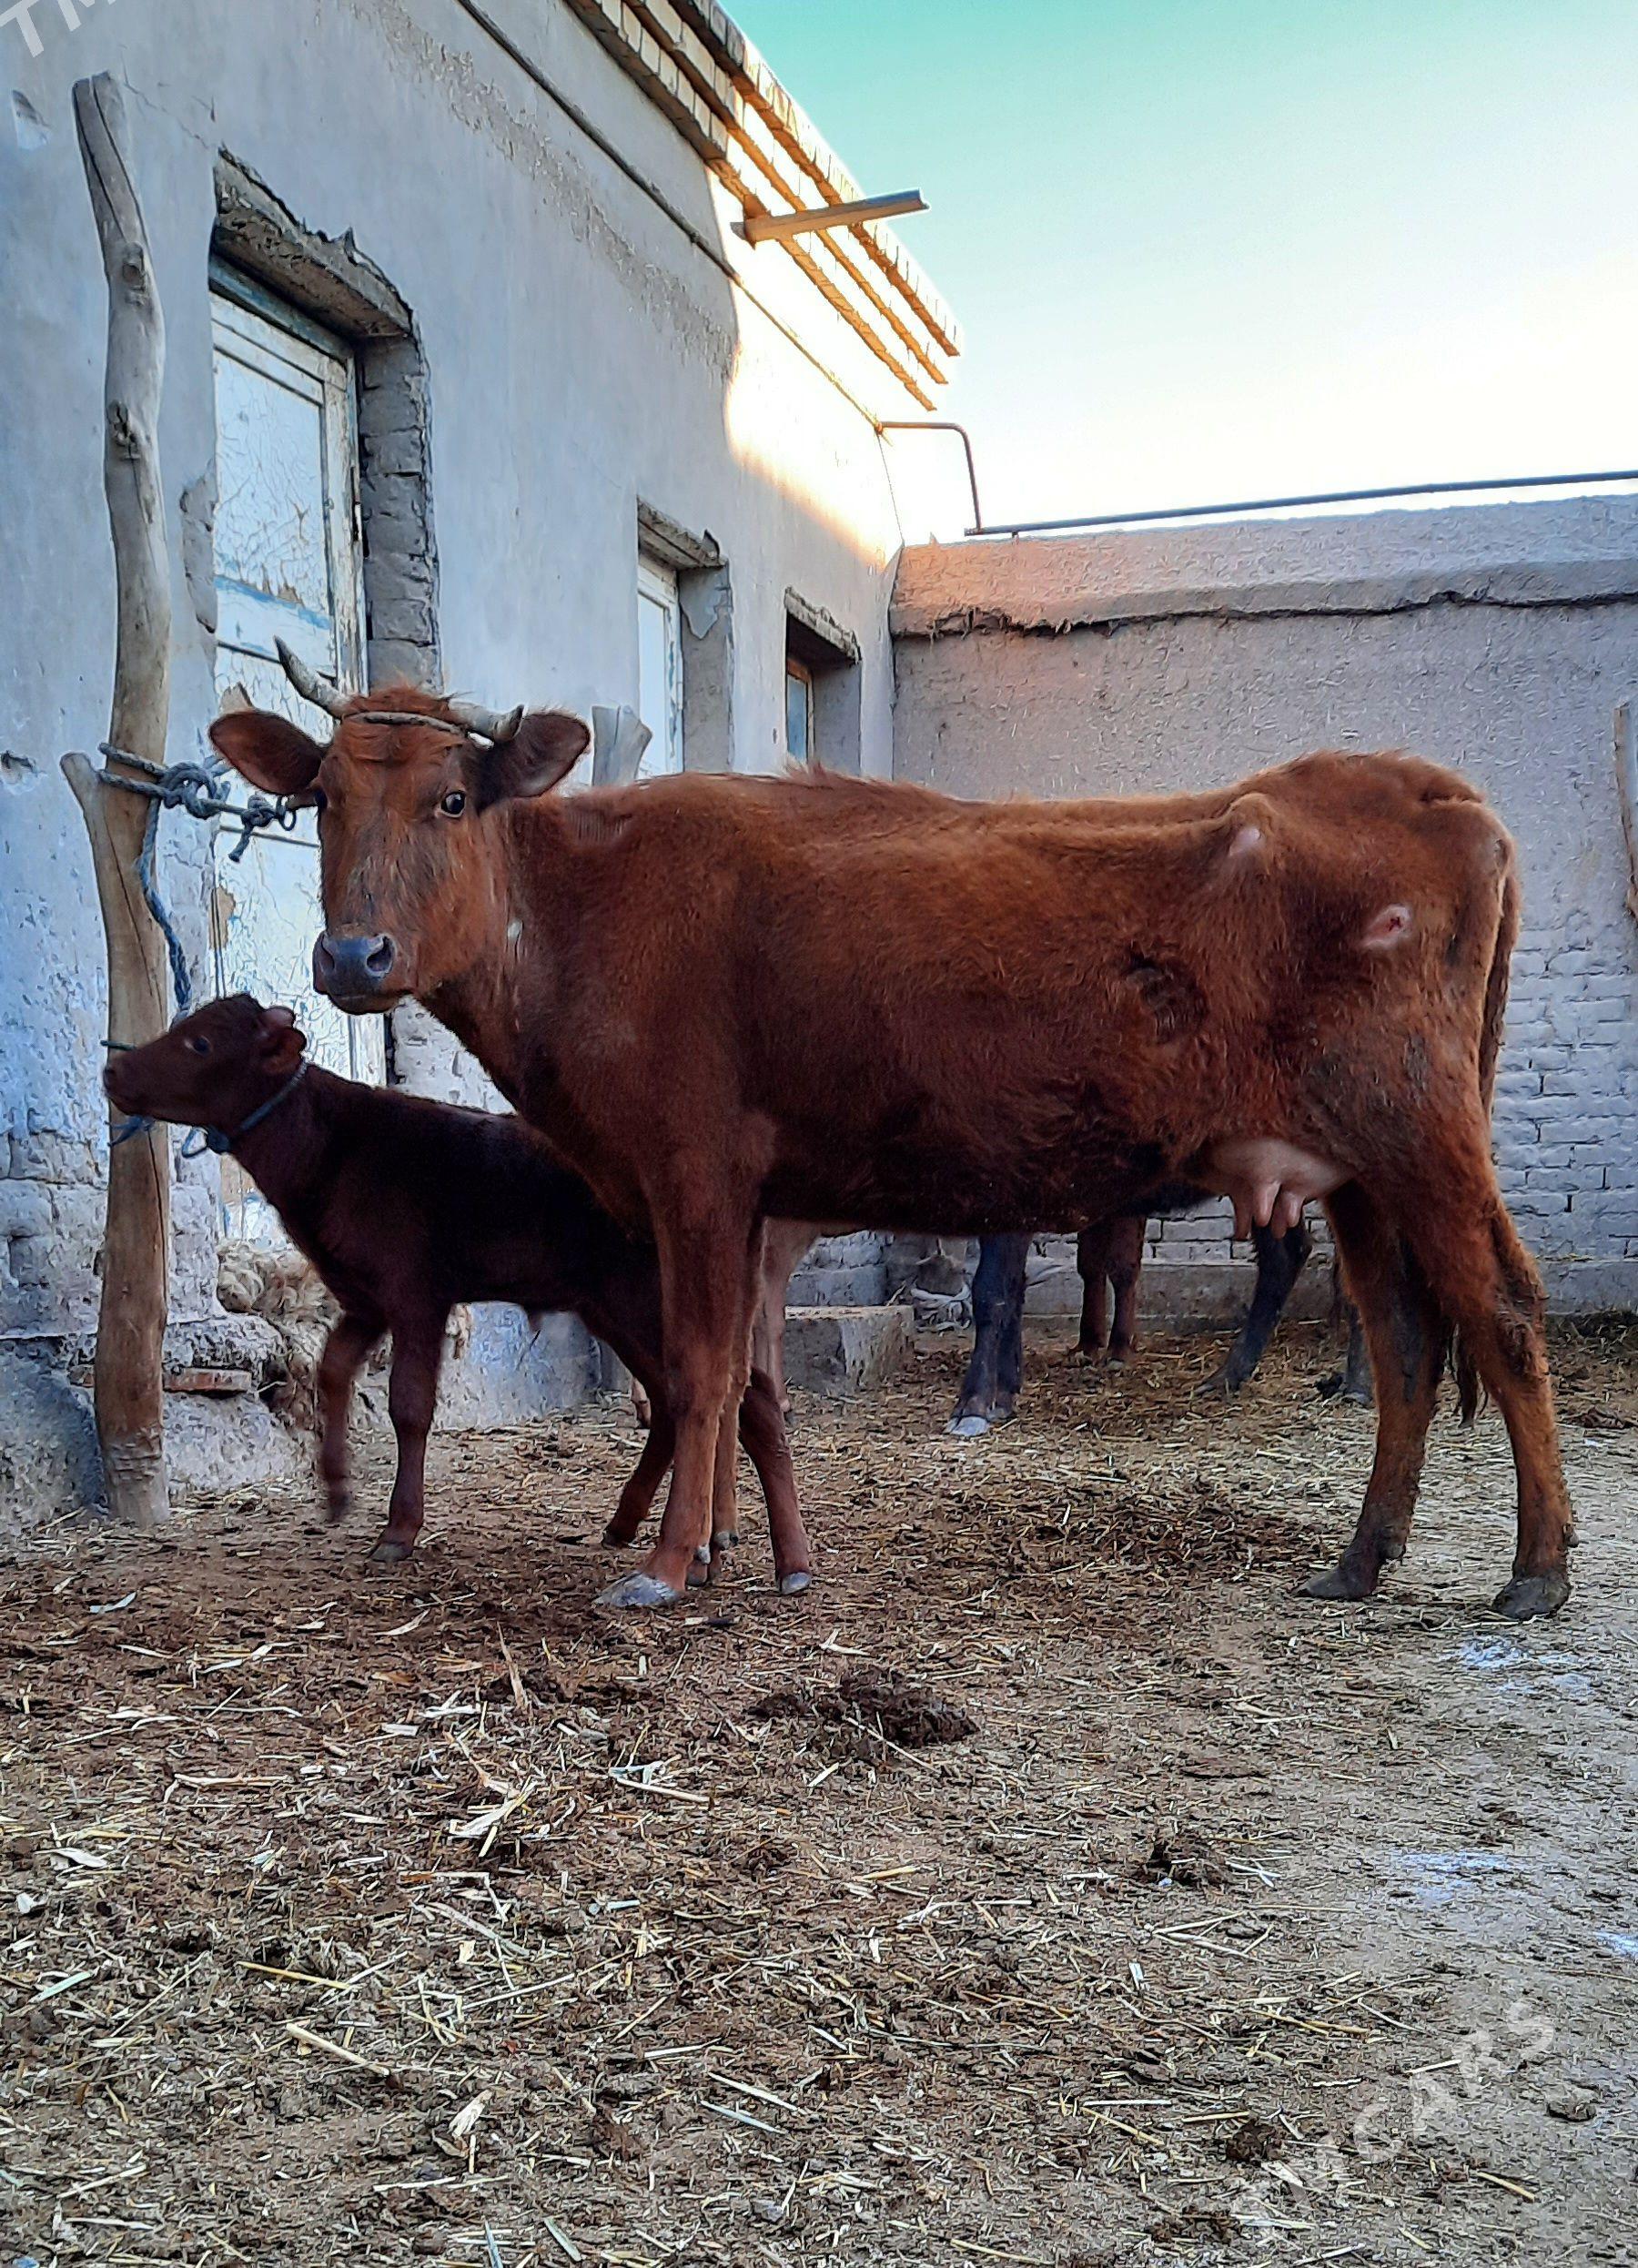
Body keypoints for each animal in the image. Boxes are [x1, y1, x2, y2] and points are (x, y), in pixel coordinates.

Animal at [103, 996, 812, 1590]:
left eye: (199, 1043)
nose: (114, 1072)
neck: (329, 1148)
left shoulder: (416, 1293)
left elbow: (411, 1406)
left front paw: (398, 1529)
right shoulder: (364, 1297)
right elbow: (333, 1373)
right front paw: (336, 1489)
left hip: (648, 1301)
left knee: (740, 1399)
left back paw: (788, 1564)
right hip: (616, 1308)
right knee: (679, 1402)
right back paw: (635, 1525)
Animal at [213, 661, 1573, 1620]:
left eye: (451, 798)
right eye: (321, 799)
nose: (352, 955)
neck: (582, 909)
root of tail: (1426, 785)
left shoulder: (695, 1168)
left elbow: (698, 1366)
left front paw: (665, 1564)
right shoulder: (746, 1199)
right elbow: (743, 1373)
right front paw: (726, 1549)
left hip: (1422, 1128)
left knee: (1500, 1308)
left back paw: (1541, 1563)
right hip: (1353, 1168)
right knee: (1403, 1343)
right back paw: (1361, 1558)